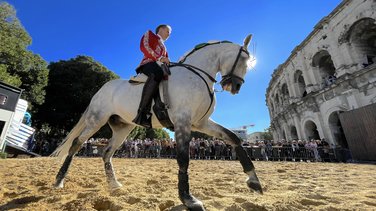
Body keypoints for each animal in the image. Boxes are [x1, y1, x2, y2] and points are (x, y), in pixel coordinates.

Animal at [52, 34, 262, 211]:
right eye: (244, 60)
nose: (235, 86)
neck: (197, 75)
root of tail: (102, 89)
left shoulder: (200, 123)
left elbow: (233, 137)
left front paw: (254, 180)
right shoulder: (183, 122)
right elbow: (183, 159)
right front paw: (188, 199)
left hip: (122, 128)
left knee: (107, 152)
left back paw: (113, 184)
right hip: (96, 120)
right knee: (76, 144)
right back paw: (59, 181)